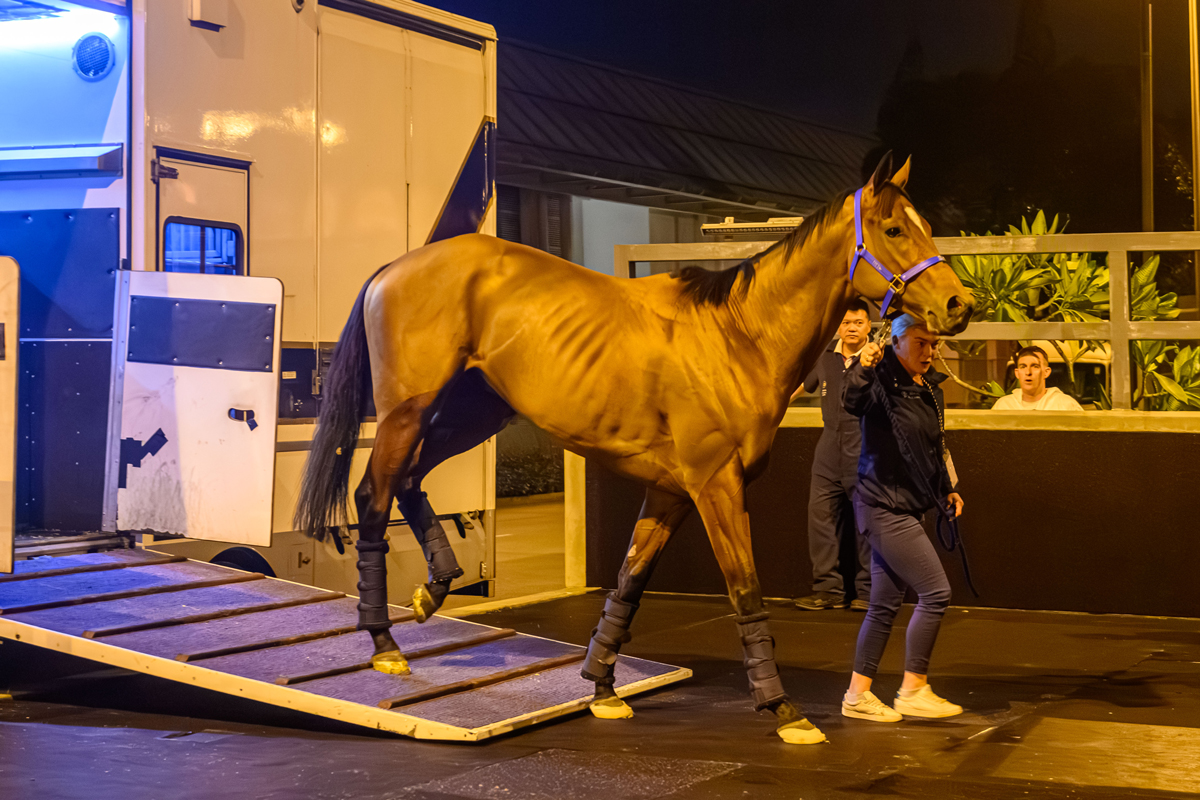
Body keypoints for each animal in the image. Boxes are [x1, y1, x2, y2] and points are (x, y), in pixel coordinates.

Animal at [297, 154, 974, 743]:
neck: (738, 337)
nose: (960, 304)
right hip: (409, 413)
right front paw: (783, 708)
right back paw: (384, 643)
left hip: (471, 414)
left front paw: (601, 688)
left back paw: (433, 589)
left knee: (408, 482)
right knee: (374, 494)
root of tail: (395, 268)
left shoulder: (671, 492)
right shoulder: (716, 485)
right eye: (893, 229)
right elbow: (745, 591)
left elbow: (629, 582)